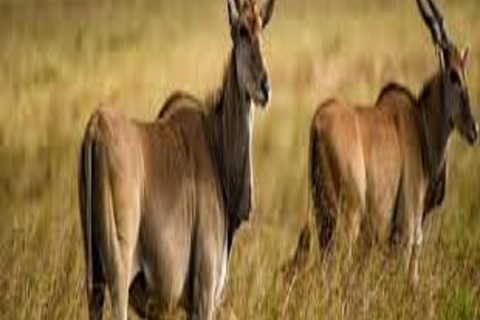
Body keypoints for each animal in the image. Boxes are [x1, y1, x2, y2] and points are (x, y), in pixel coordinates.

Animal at [77, 0, 276, 318]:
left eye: (262, 30)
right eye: (242, 31)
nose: (264, 87)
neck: (215, 141)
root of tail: (95, 128)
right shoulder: (204, 294)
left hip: (93, 278)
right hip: (118, 276)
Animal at [308, 0, 476, 284]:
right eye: (454, 75)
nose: (474, 130)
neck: (421, 123)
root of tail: (318, 123)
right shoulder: (407, 231)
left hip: (324, 224)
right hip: (347, 222)